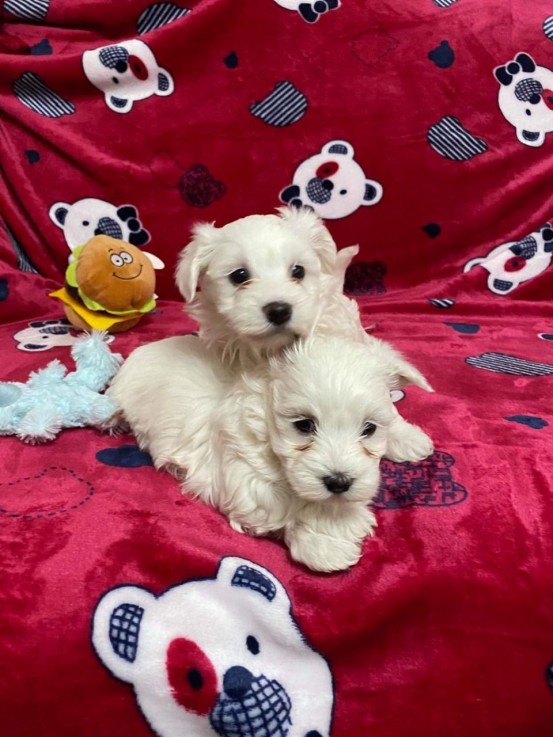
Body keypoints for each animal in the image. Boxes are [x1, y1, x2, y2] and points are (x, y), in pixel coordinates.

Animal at [108, 332, 426, 568]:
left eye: (369, 429)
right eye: (304, 425)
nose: (339, 482)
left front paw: (407, 438)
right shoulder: (245, 478)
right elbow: (286, 508)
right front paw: (328, 541)